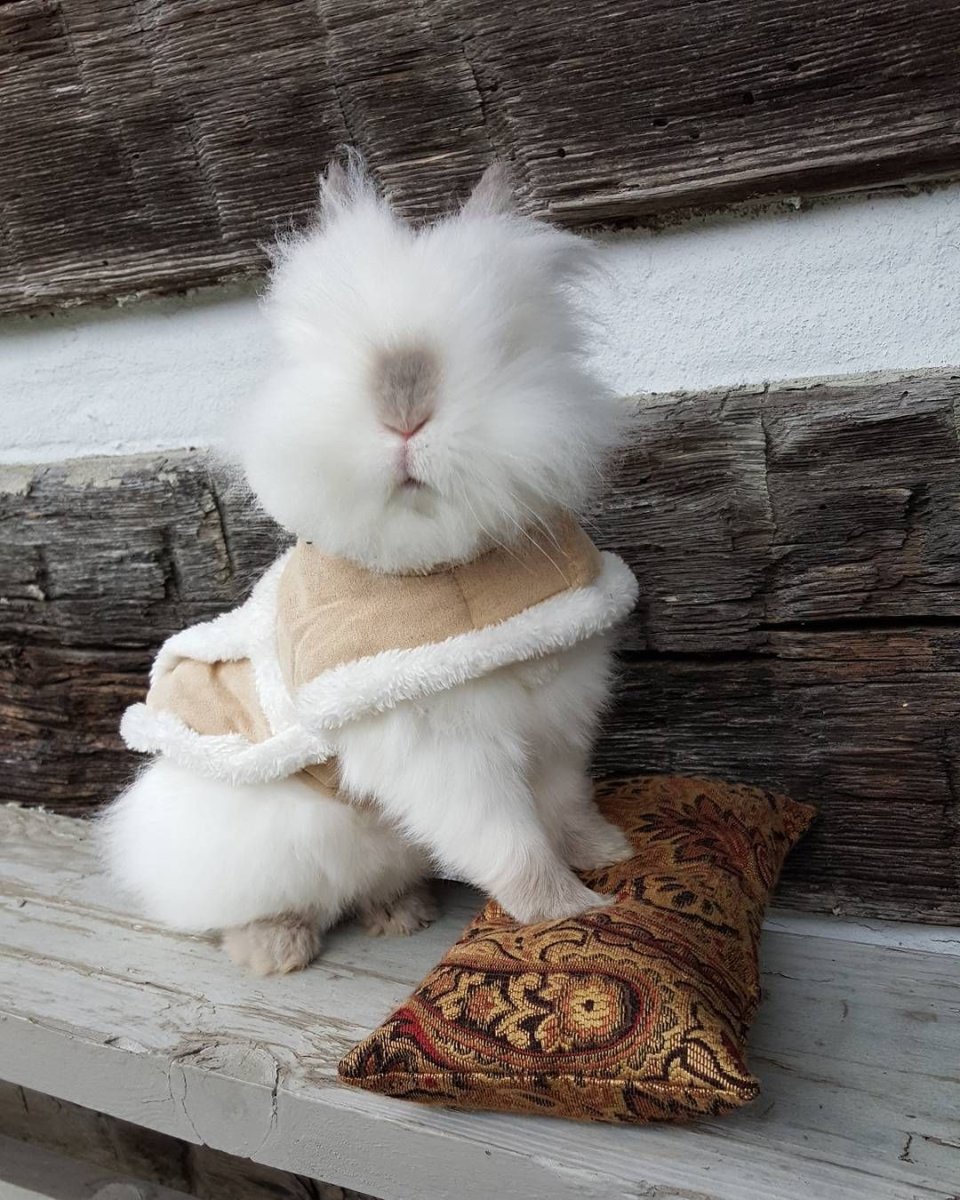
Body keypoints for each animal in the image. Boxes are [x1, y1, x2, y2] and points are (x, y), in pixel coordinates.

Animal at [100, 155, 636, 976]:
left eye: (504, 343)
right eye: (324, 348)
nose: (403, 401)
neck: (445, 574)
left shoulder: (558, 723)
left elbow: (566, 807)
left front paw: (611, 854)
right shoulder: (447, 755)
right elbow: (512, 842)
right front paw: (565, 909)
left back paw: (400, 913)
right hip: (263, 843)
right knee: (243, 908)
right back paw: (274, 949)